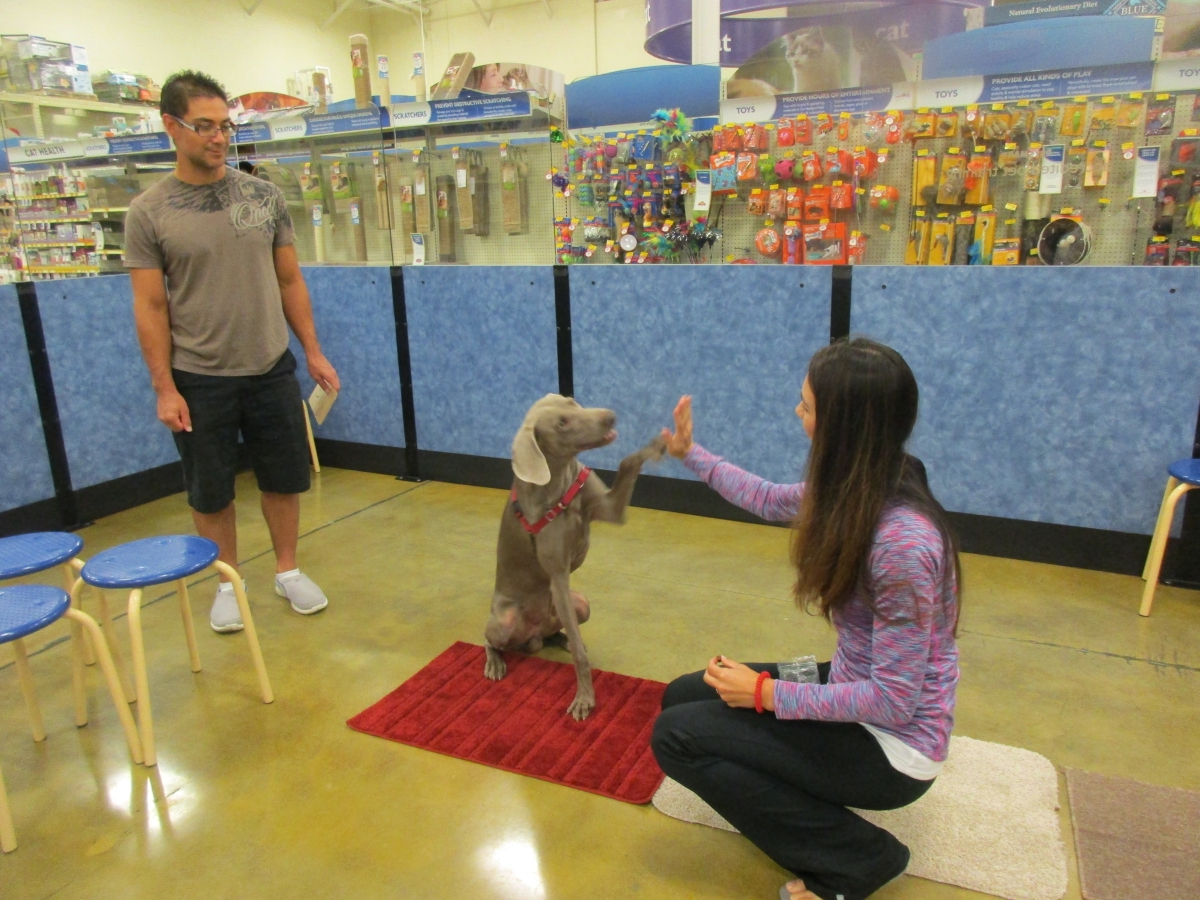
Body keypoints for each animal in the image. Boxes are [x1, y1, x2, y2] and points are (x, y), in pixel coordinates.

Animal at [484, 394, 666, 720]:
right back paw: (494, 662)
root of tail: (533, 638)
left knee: (563, 629)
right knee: (489, 639)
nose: (610, 416)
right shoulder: (558, 577)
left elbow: (627, 461)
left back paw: (563, 639)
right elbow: (581, 659)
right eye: (561, 424)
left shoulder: (611, 510)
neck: (559, 482)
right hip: (504, 621)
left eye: (572, 401)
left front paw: (657, 443)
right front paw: (585, 698)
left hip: (581, 604)